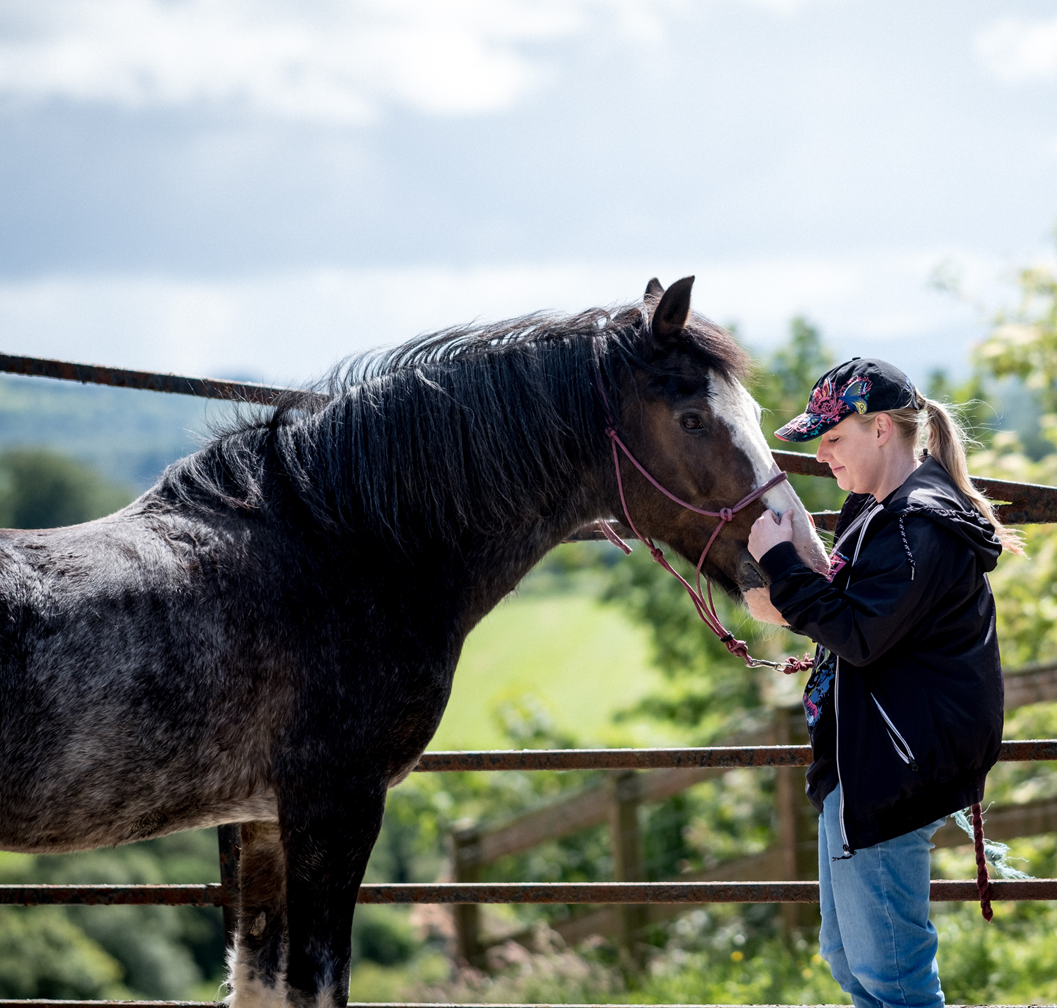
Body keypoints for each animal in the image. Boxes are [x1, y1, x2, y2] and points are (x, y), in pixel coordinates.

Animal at [0, 276, 827, 1008]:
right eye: (691, 418)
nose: (802, 562)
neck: (338, 549)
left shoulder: (260, 820)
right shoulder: (333, 806)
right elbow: (314, 986)